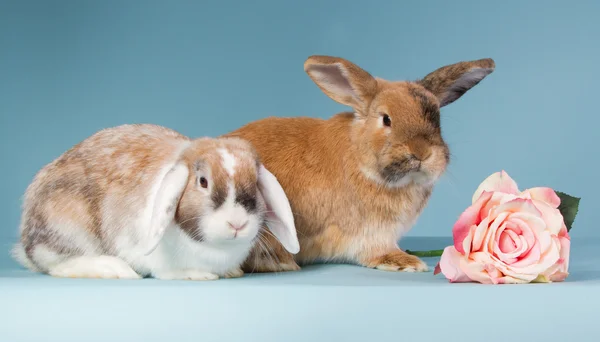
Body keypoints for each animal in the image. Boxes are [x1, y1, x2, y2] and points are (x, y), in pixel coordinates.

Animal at [11, 123, 298, 280]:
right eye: (203, 181)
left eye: (255, 182)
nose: (237, 224)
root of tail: (25, 241)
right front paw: (196, 275)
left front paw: (231, 271)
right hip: (68, 225)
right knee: (57, 265)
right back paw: (115, 269)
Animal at [227, 54, 494, 274]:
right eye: (386, 119)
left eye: (436, 119)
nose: (422, 152)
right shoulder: (369, 233)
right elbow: (375, 251)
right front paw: (404, 262)